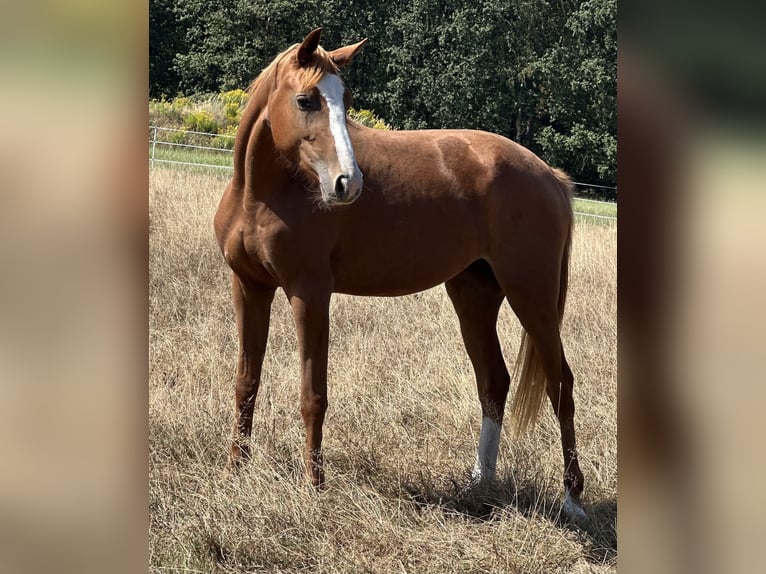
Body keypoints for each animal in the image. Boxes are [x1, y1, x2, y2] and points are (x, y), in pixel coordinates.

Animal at [213, 29, 584, 520]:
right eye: (305, 99)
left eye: (347, 100)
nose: (348, 183)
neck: (262, 194)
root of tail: (550, 175)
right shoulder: (249, 287)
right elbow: (246, 383)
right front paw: (234, 471)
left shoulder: (308, 293)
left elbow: (313, 395)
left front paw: (314, 488)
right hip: (475, 295)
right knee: (494, 382)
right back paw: (480, 482)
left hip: (533, 297)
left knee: (560, 385)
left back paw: (573, 499)